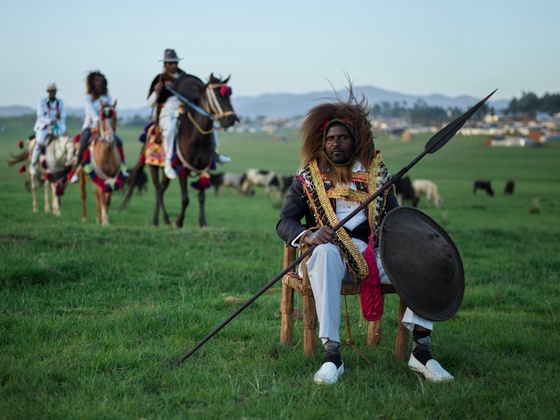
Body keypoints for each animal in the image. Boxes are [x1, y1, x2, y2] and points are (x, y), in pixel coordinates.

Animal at [121, 74, 237, 228]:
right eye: (218, 95)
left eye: (229, 96)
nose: (231, 119)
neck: (196, 138)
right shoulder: (183, 169)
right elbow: (185, 199)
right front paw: (178, 222)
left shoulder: (202, 168)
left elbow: (201, 197)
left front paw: (203, 223)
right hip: (153, 166)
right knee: (158, 189)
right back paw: (165, 219)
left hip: (165, 172)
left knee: (162, 189)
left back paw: (157, 220)